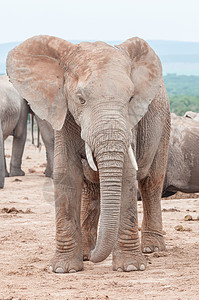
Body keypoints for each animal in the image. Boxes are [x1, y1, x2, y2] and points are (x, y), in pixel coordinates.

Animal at [7, 34, 170, 272]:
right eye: (80, 99)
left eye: (131, 98)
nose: (96, 257)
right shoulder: (63, 112)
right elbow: (66, 173)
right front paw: (63, 269)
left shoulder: (131, 123)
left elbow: (127, 174)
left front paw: (130, 268)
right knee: (91, 190)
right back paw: (86, 253)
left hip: (164, 124)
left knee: (152, 183)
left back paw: (152, 249)